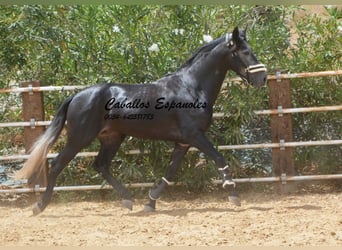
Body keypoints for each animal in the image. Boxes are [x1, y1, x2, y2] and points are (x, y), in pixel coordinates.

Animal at [14, 27, 268, 215]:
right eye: (245, 52)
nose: (263, 78)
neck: (191, 87)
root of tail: (77, 96)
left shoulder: (183, 141)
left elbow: (170, 171)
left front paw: (150, 202)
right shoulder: (195, 135)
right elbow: (219, 158)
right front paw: (233, 195)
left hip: (112, 138)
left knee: (101, 165)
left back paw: (128, 200)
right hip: (79, 138)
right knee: (57, 164)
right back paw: (39, 206)